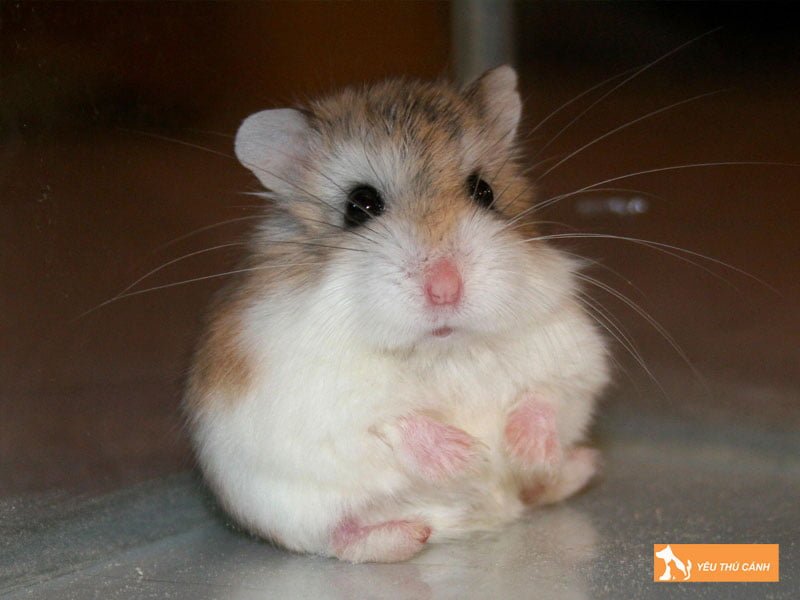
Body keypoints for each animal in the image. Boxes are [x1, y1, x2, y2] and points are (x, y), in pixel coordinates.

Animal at [184, 66, 611, 563]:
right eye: (360, 205)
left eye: (484, 191)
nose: (445, 289)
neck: (442, 349)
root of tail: (485, 516)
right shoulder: (321, 398)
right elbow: (391, 417)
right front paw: (468, 454)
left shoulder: (572, 354)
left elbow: (544, 394)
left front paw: (522, 448)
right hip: (286, 511)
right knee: (339, 536)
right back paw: (410, 534)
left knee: (537, 491)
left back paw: (574, 466)